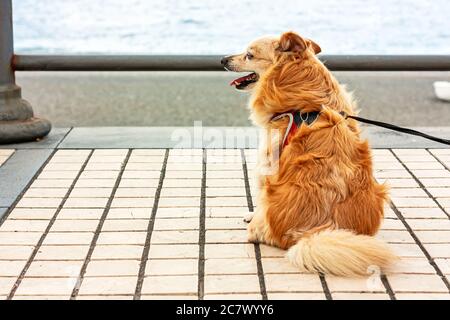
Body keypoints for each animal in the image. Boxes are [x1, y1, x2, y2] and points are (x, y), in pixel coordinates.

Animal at [223, 33, 396, 278]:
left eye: (249, 55)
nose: (222, 60)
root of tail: (314, 233)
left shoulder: (268, 159)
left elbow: (259, 194)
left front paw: (252, 214)